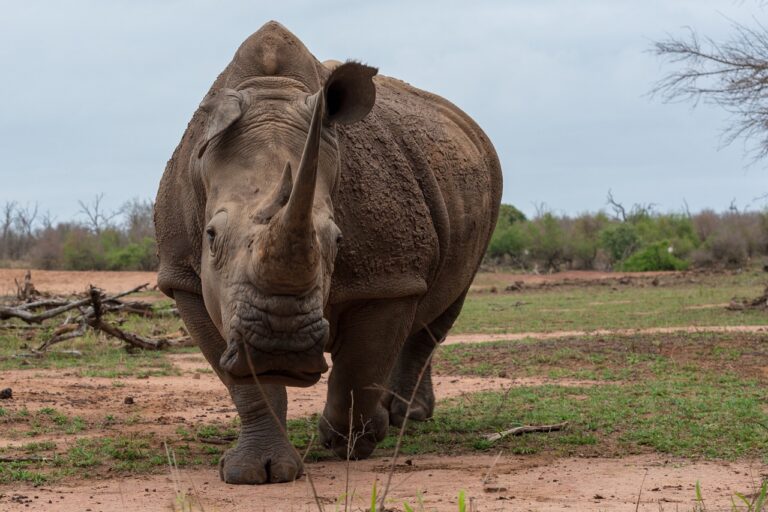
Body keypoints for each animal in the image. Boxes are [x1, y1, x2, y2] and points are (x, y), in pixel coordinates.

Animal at [154, 21, 502, 484]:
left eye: (338, 240)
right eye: (210, 236)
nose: (279, 346)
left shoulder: (388, 277)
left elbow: (360, 365)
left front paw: (352, 441)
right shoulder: (184, 277)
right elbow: (244, 382)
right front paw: (255, 471)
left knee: (442, 307)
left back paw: (404, 417)